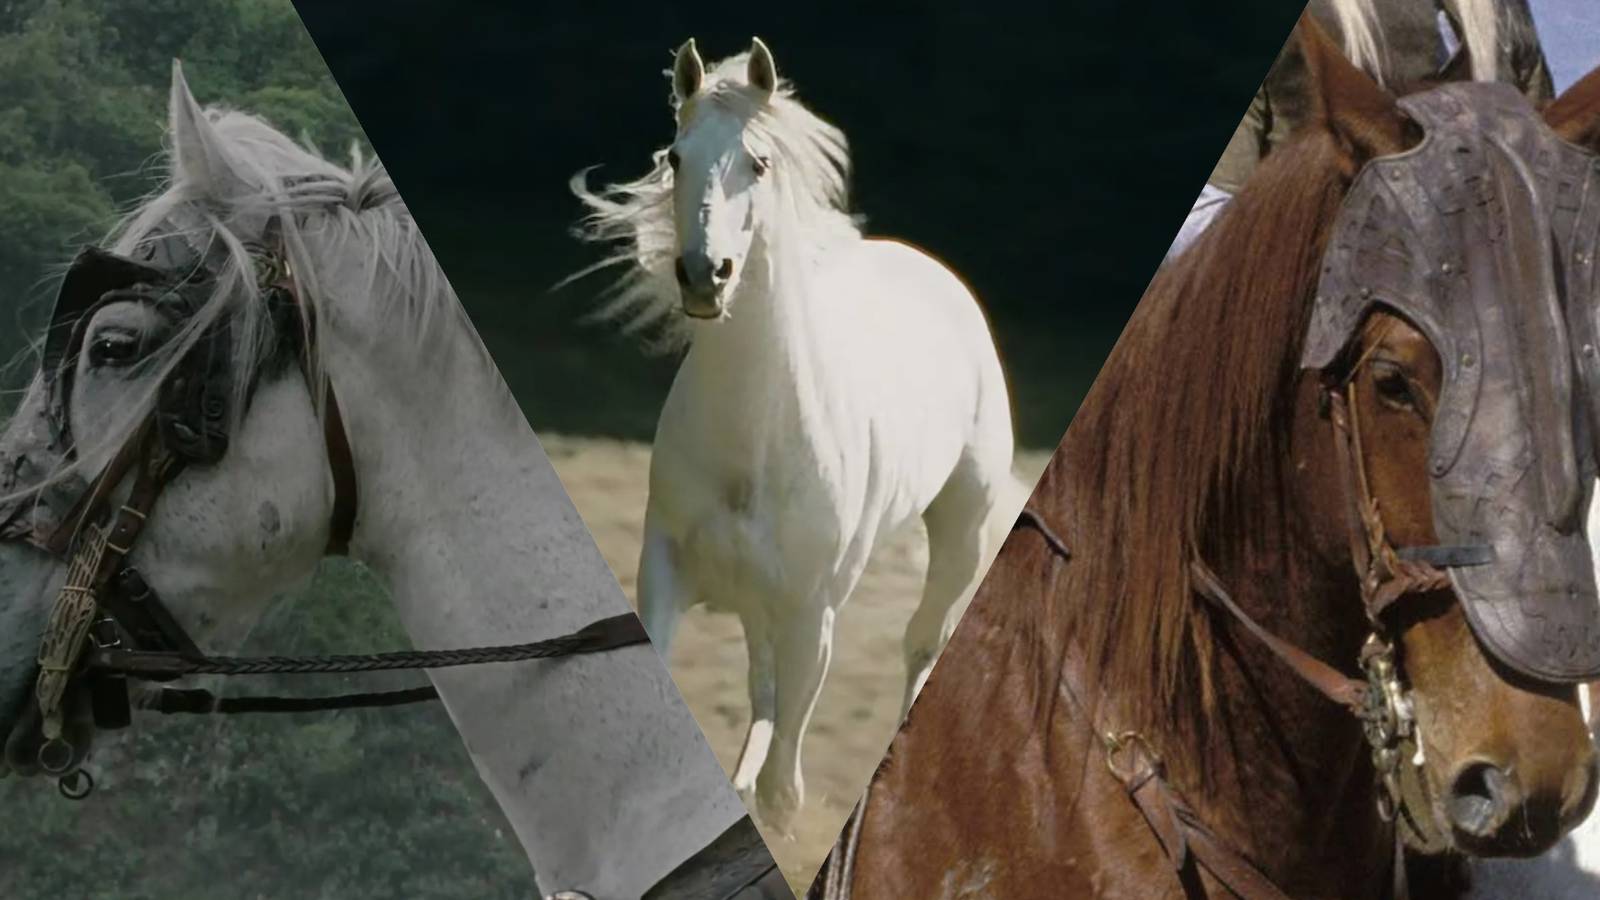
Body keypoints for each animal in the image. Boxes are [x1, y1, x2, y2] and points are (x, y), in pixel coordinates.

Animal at [571, 37, 1020, 836]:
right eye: (676, 156)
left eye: (759, 162)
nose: (705, 276)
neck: (757, 438)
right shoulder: (667, 573)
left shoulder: (814, 613)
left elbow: (787, 783)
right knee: (763, 687)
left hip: (961, 529)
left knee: (921, 643)